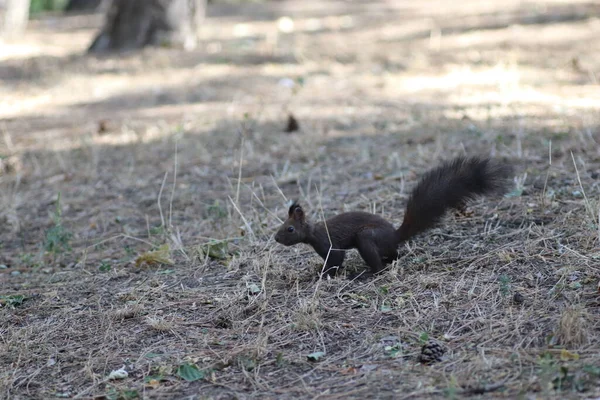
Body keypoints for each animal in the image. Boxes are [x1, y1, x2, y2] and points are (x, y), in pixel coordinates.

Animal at [274, 156, 512, 278]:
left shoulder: (329, 244)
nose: (276, 238)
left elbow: (336, 260)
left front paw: (323, 274)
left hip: (366, 237)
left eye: (290, 229)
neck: (312, 233)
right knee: (393, 256)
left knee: (379, 266)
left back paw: (368, 273)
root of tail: (394, 236)